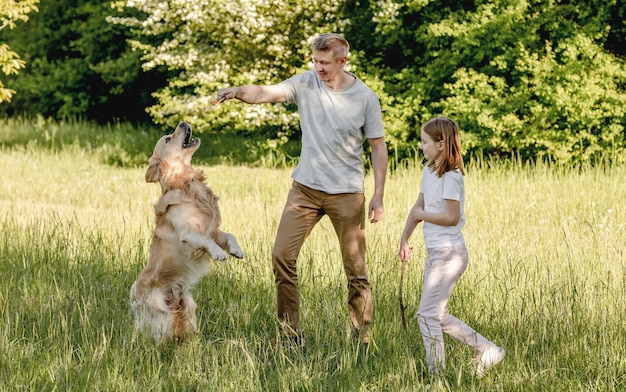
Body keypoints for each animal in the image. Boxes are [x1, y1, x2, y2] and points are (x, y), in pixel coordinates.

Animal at [130, 120, 244, 344]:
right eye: (168, 138)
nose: (182, 122)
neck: (185, 182)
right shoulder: (188, 233)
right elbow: (207, 242)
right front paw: (219, 253)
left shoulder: (213, 230)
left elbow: (228, 236)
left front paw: (236, 250)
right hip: (161, 319)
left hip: (189, 310)